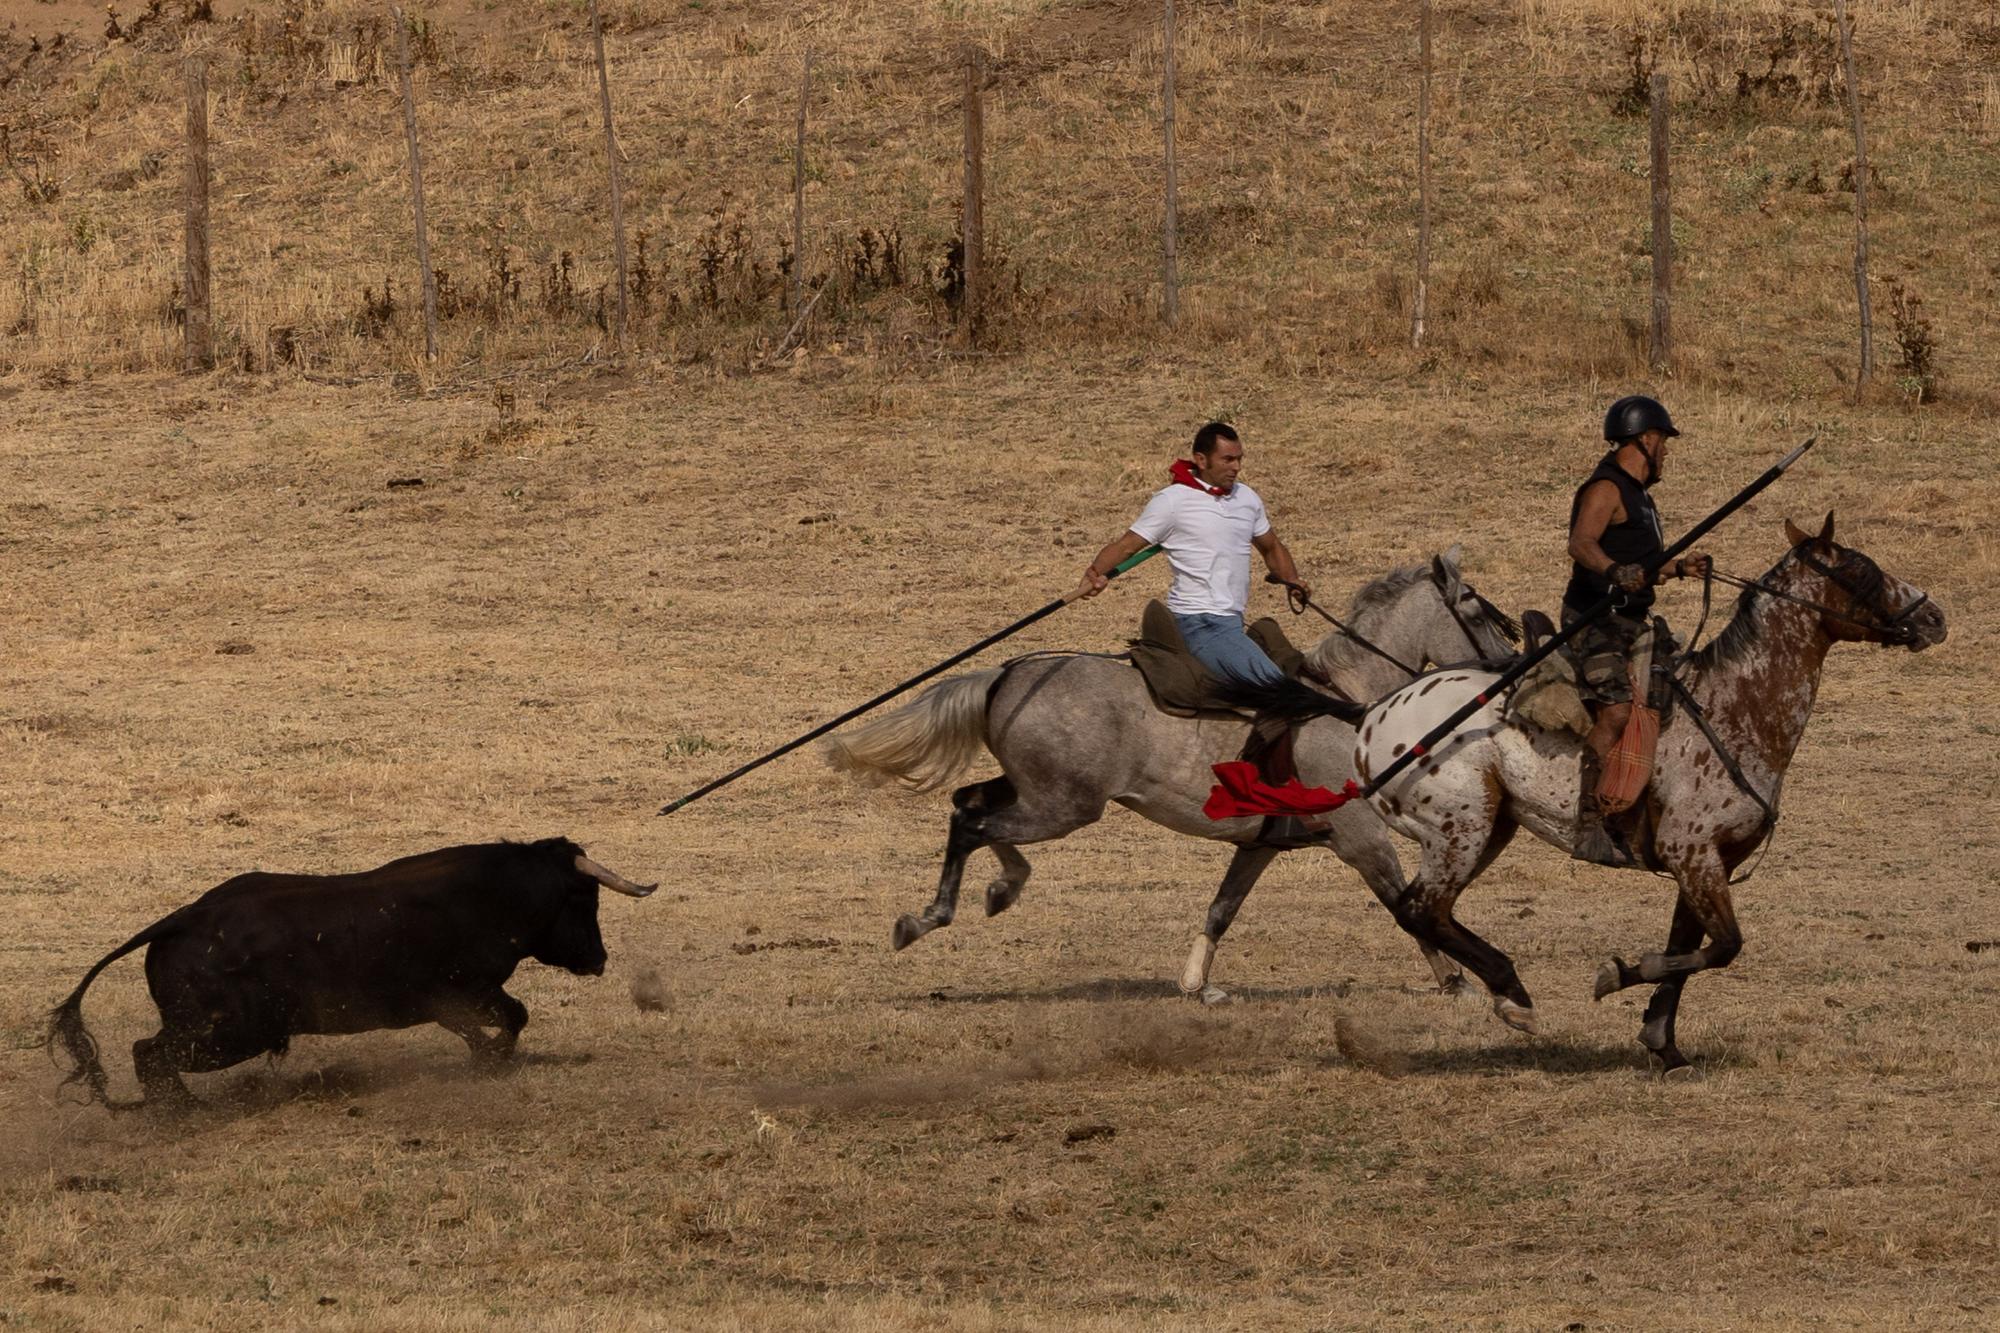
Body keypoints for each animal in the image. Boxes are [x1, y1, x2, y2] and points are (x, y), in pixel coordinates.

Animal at [47, 836, 656, 1104]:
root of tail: (181, 919)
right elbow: (513, 1016)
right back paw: (178, 1112)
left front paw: (485, 1058)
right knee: (148, 1053)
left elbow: (495, 1022)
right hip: (228, 1033)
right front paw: (491, 1062)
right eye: (583, 899)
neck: (494, 891)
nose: (599, 959)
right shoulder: (464, 990)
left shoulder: (455, 999)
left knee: (149, 1055)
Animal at [824, 548, 1512, 996]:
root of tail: (1004, 674)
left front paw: (1197, 985)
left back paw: (993, 891)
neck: (1351, 705)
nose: (1509, 666)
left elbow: (1221, 908)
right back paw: (937, 914)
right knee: (974, 824)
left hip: (1036, 792)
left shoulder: (1261, 845)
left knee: (967, 806)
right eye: (1475, 609)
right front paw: (1457, 980)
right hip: (1064, 806)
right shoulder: (1361, 840)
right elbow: (1404, 904)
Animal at [1352, 512, 1944, 1064]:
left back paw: (1506, 994)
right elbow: (1721, 947)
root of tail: (1371, 720)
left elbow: (1689, 947)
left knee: (1428, 911)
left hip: (1489, 829)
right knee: (1419, 909)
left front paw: (1664, 1045)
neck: (1733, 708)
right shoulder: (1692, 854)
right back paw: (1515, 997)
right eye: (1862, 570)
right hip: (1460, 831)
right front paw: (1616, 976)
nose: (1934, 617)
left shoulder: (1708, 862)